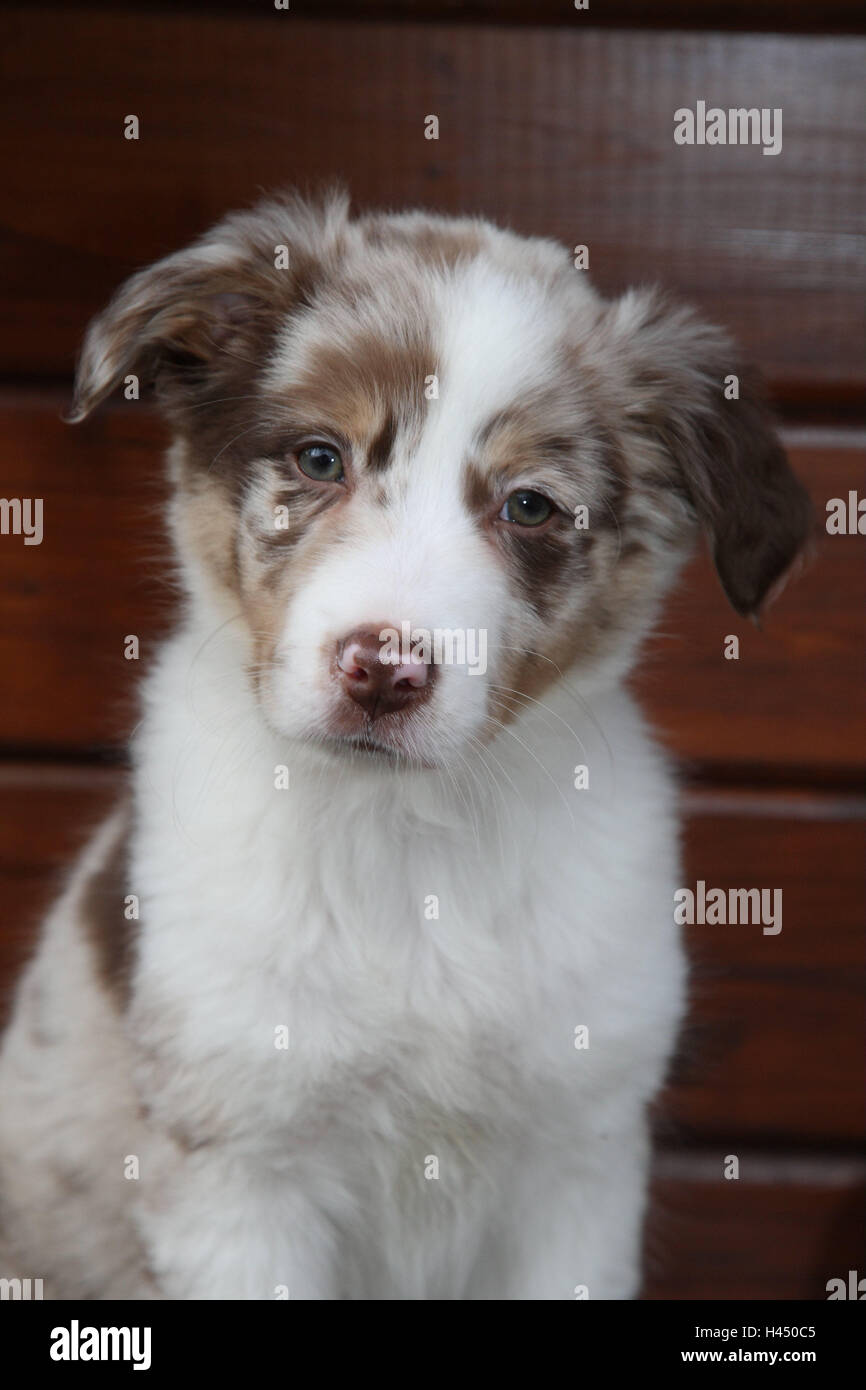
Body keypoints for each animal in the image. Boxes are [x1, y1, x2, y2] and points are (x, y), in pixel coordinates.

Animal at [0, 190, 811, 1295]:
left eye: (529, 506)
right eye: (318, 458)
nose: (383, 673)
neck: (410, 836)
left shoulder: (579, 1159)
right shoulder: (239, 1173)